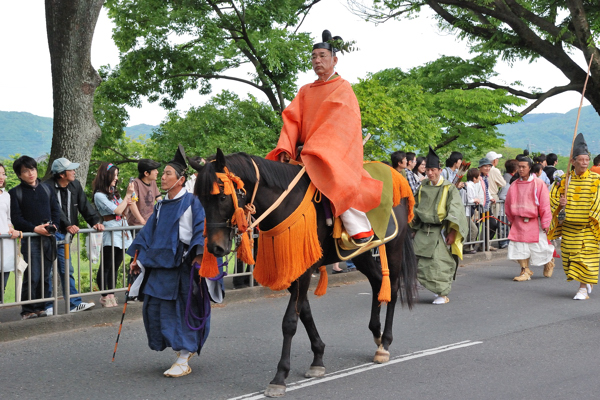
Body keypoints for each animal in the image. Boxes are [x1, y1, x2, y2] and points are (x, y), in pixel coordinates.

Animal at [197, 149, 418, 396]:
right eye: (201, 199)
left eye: (222, 197)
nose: (215, 248)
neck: (284, 203)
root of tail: (397, 178)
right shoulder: (293, 269)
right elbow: (305, 312)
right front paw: (318, 358)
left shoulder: (303, 270)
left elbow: (290, 321)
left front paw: (280, 376)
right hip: (361, 254)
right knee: (379, 282)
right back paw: (377, 334)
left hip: (394, 246)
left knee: (393, 288)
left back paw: (385, 344)